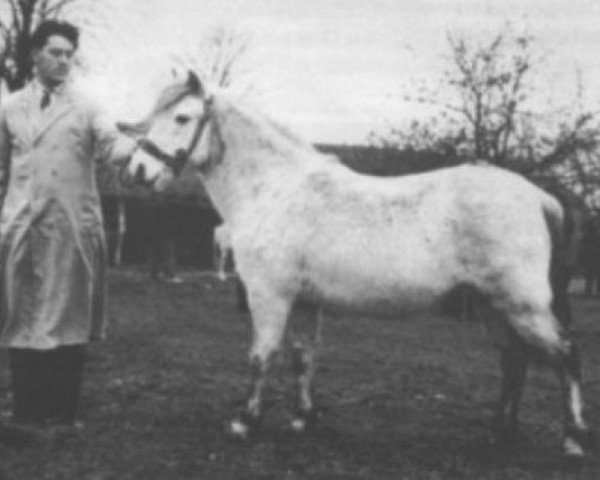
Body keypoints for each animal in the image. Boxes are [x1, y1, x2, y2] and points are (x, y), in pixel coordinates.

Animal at [118, 71, 592, 458]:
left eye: (182, 117)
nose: (137, 171)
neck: (274, 188)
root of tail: (537, 195)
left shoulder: (268, 295)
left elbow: (261, 355)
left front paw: (243, 423)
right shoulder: (303, 300)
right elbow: (303, 357)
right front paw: (302, 417)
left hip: (521, 305)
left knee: (565, 353)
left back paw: (572, 437)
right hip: (493, 306)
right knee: (514, 361)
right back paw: (500, 432)